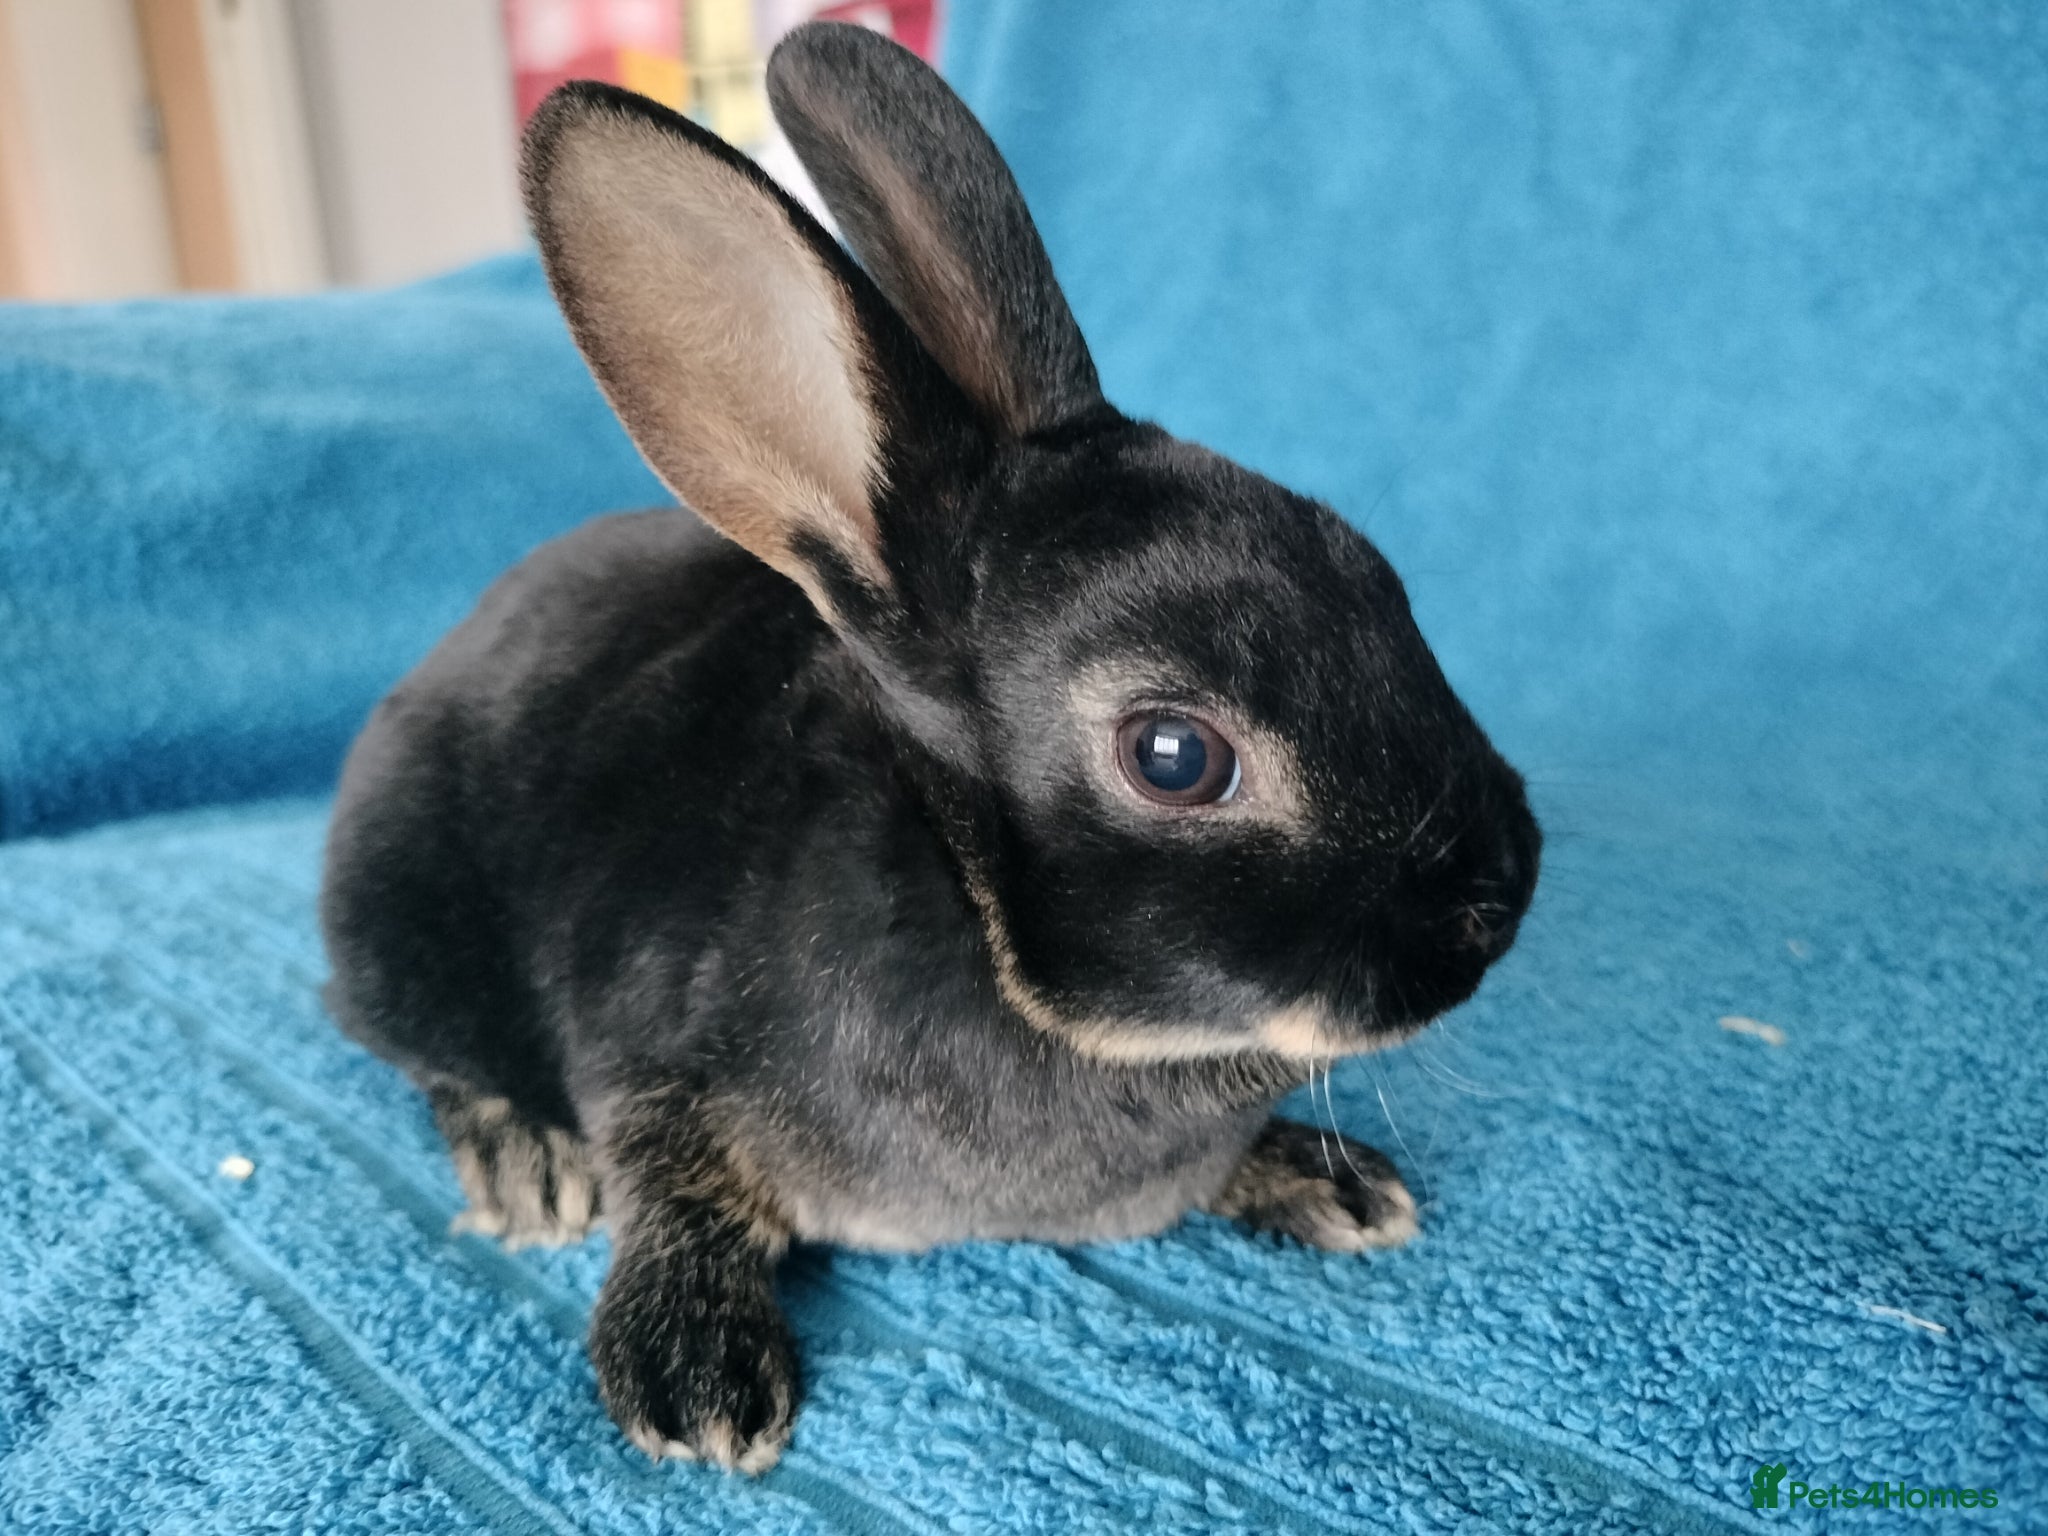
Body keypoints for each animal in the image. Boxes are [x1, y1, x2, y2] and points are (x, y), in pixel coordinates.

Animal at [319, 20, 1540, 1475]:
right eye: (1174, 757)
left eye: (1381, 580)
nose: (1502, 890)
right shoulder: (643, 1040)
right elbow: (665, 1177)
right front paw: (694, 1377)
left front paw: (1325, 1180)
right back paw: (525, 1166)